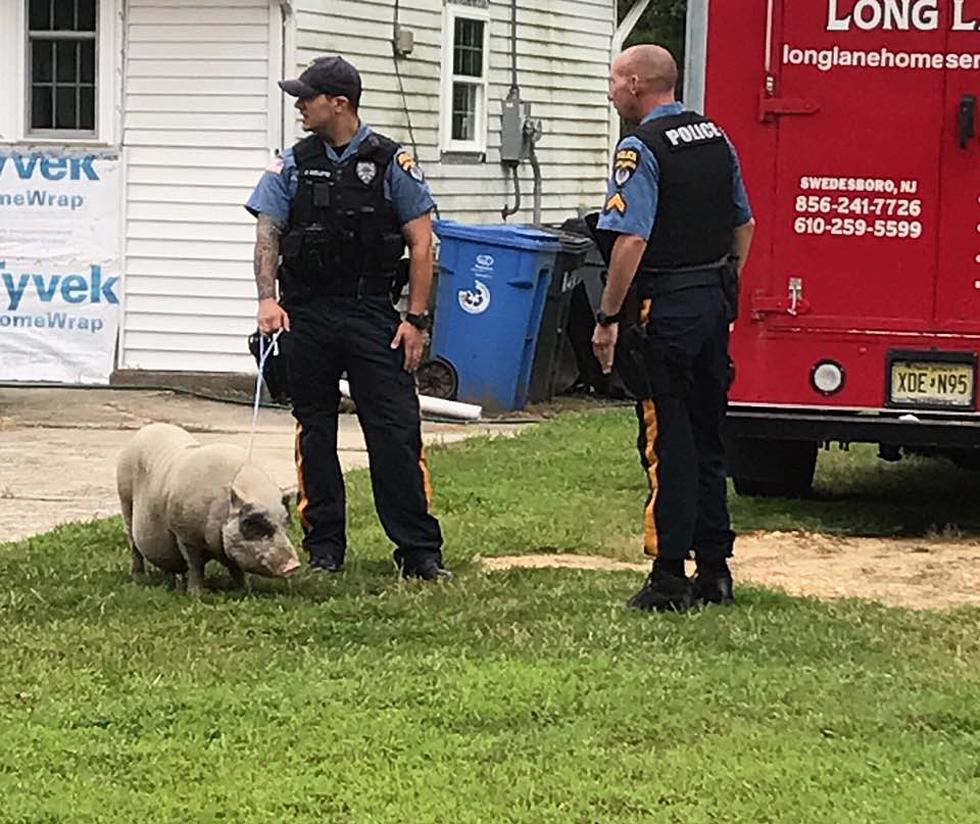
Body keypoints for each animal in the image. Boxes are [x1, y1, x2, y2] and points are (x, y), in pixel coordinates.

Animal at [115, 424, 300, 592]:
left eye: (285, 524)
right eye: (253, 524)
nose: (294, 565)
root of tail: (146, 429)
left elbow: (236, 568)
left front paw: (245, 590)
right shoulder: (185, 535)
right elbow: (196, 565)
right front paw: (196, 594)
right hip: (125, 501)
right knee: (134, 545)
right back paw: (139, 578)